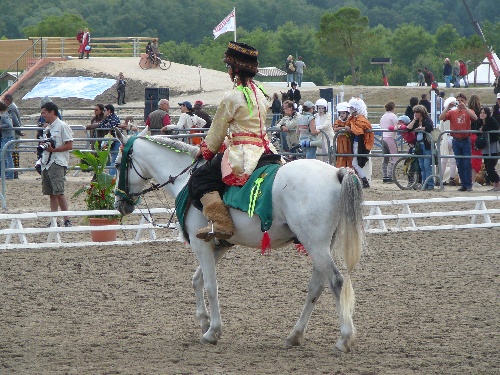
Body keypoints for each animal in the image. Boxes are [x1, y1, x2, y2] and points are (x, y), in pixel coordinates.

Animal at [113, 129, 364, 352]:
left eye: (116, 164)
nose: (119, 203)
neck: (185, 178)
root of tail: (337, 174)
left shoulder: (201, 245)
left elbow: (211, 286)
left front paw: (213, 331)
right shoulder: (218, 246)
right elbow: (197, 280)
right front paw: (204, 321)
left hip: (315, 245)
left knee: (336, 282)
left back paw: (344, 339)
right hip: (320, 246)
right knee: (316, 287)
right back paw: (295, 336)